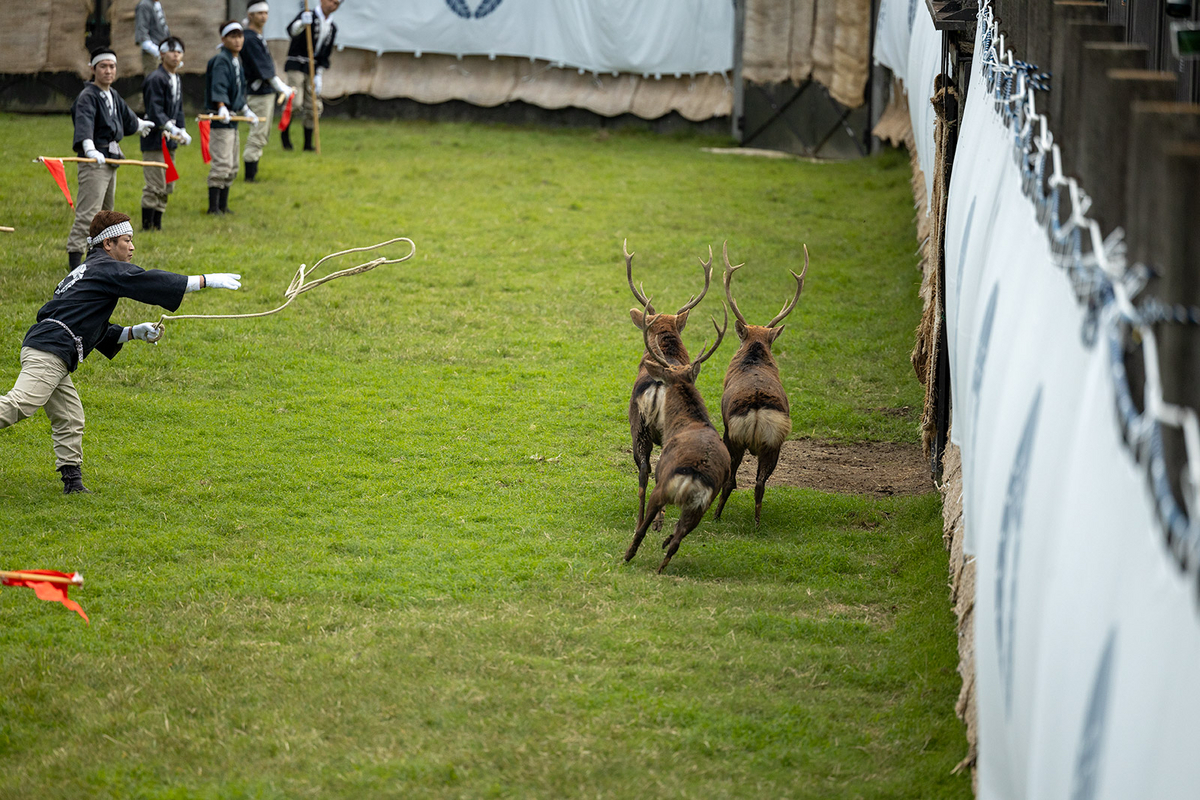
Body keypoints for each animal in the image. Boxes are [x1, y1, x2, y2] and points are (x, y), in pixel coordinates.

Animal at [628, 241, 710, 534]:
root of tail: (656, 386)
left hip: (637, 426)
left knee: (643, 469)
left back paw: (641, 522)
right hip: (664, 430)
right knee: (658, 469)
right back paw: (657, 521)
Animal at [705, 241, 811, 527]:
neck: (754, 355)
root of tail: (756, 409)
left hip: (733, 437)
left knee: (731, 480)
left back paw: (716, 516)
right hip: (774, 445)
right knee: (760, 483)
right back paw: (756, 522)